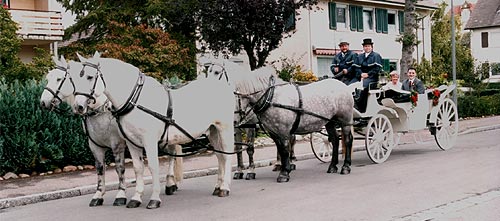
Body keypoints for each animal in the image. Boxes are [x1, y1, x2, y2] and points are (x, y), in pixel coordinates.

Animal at [73, 52, 235, 209]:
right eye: (74, 79)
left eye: (89, 77)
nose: (78, 107)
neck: (135, 102)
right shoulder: (132, 143)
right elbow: (138, 168)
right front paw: (136, 198)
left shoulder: (148, 142)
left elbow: (153, 167)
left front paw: (154, 199)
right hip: (213, 131)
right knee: (220, 156)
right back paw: (218, 187)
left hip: (224, 129)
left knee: (227, 157)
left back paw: (225, 188)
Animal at [208, 59, 356, 182]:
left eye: (216, 72)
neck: (270, 96)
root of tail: (343, 86)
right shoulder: (273, 131)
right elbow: (278, 148)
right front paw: (284, 168)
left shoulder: (282, 130)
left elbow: (284, 149)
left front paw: (284, 173)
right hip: (330, 121)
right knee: (335, 140)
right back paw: (332, 166)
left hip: (345, 120)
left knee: (347, 140)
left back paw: (346, 166)